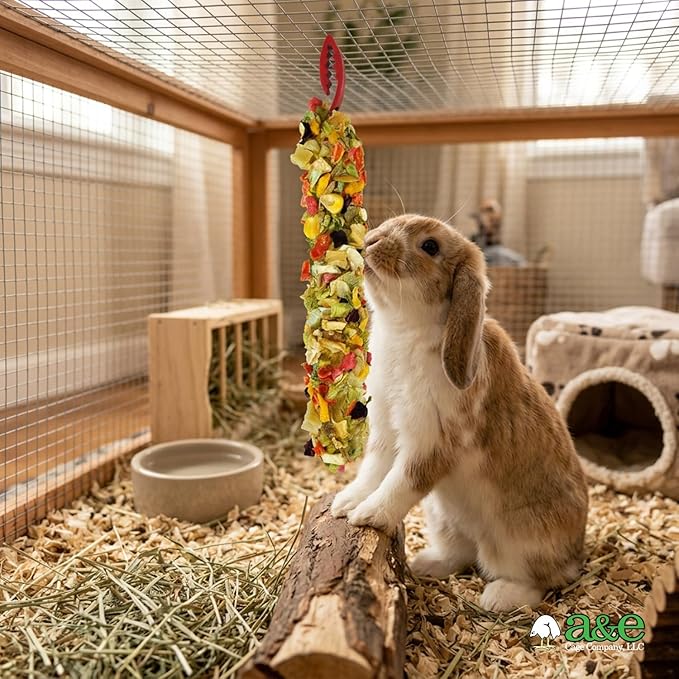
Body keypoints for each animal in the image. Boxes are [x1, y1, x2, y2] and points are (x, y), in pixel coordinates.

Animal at [331, 214, 588, 613]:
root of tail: (577, 552)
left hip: (519, 542)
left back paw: (498, 597)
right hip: (444, 518)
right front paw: (346, 502)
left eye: (430, 246)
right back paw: (427, 563)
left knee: (539, 581)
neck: (408, 330)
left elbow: (400, 482)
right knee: (462, 552)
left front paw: (369, 516)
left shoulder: (431, 444)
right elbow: (373, 471)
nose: (370, 241)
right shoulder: (386, 433)